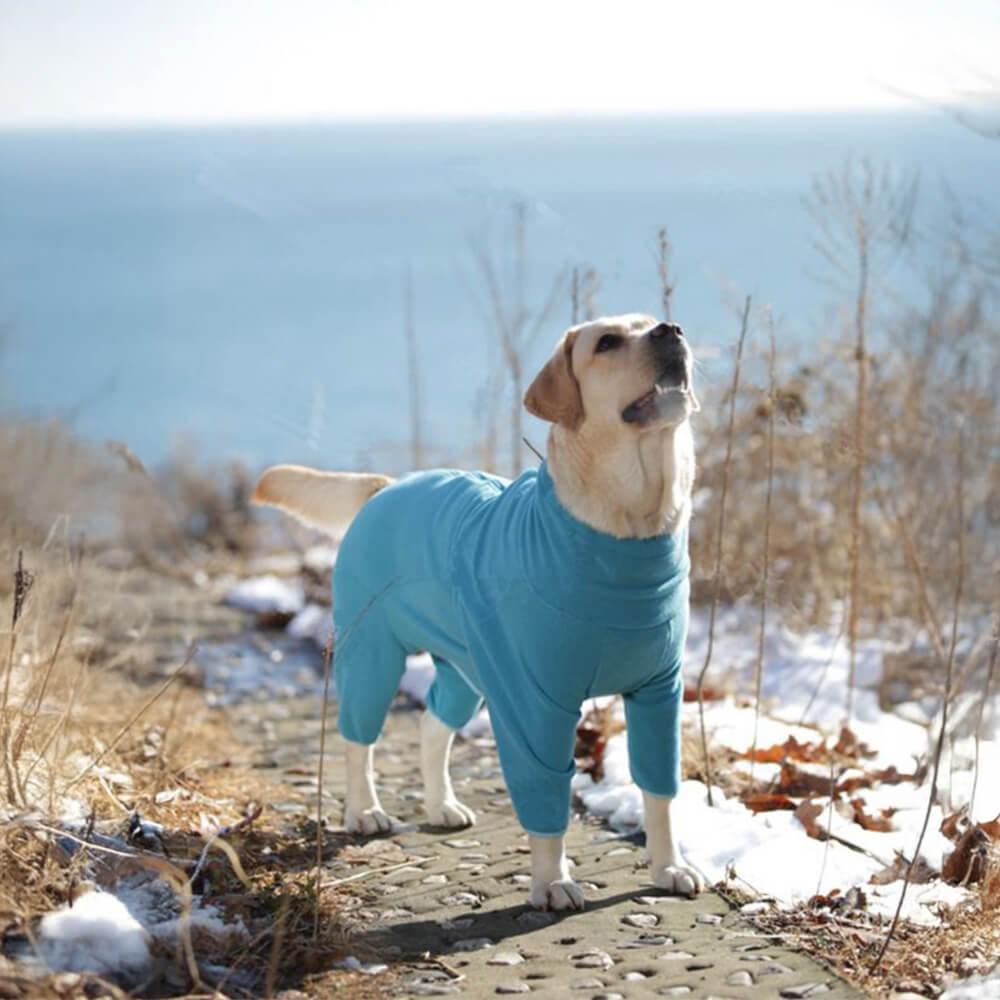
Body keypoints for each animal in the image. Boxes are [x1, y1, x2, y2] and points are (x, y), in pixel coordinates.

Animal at [250, 316, 704, 912]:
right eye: (607, 343)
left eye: (654, 320)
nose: (671, 330)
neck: (625, 534)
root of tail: (386, 487)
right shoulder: (535, 700)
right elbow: (544, 791)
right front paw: (552, 881)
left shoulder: (659, 691)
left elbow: (659, 788)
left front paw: (669, 865)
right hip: (372, 650)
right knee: (357, 738)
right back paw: (364, 811)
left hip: (467, 664)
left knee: (431, 723)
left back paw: (441, 805)